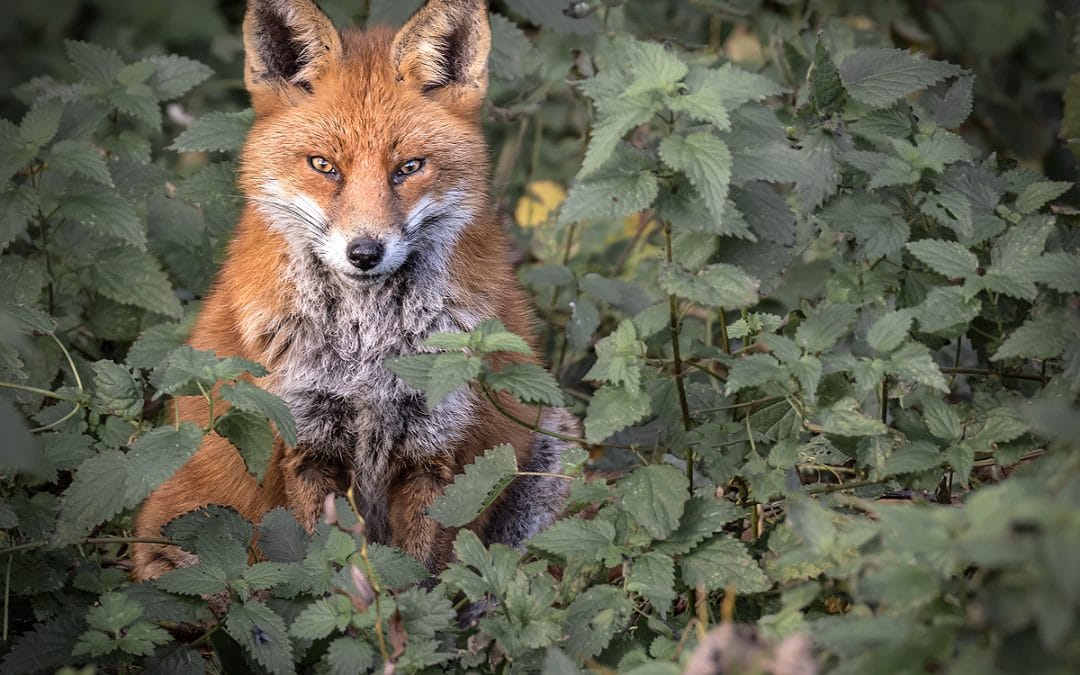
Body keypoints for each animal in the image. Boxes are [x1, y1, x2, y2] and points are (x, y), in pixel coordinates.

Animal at [132, 0, 583, 578]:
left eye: (408, 167)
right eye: (324, 166)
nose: (365, 252)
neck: (366, 348)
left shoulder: (438, 455)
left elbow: (420, 578)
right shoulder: (304, 445)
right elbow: (318, 569)